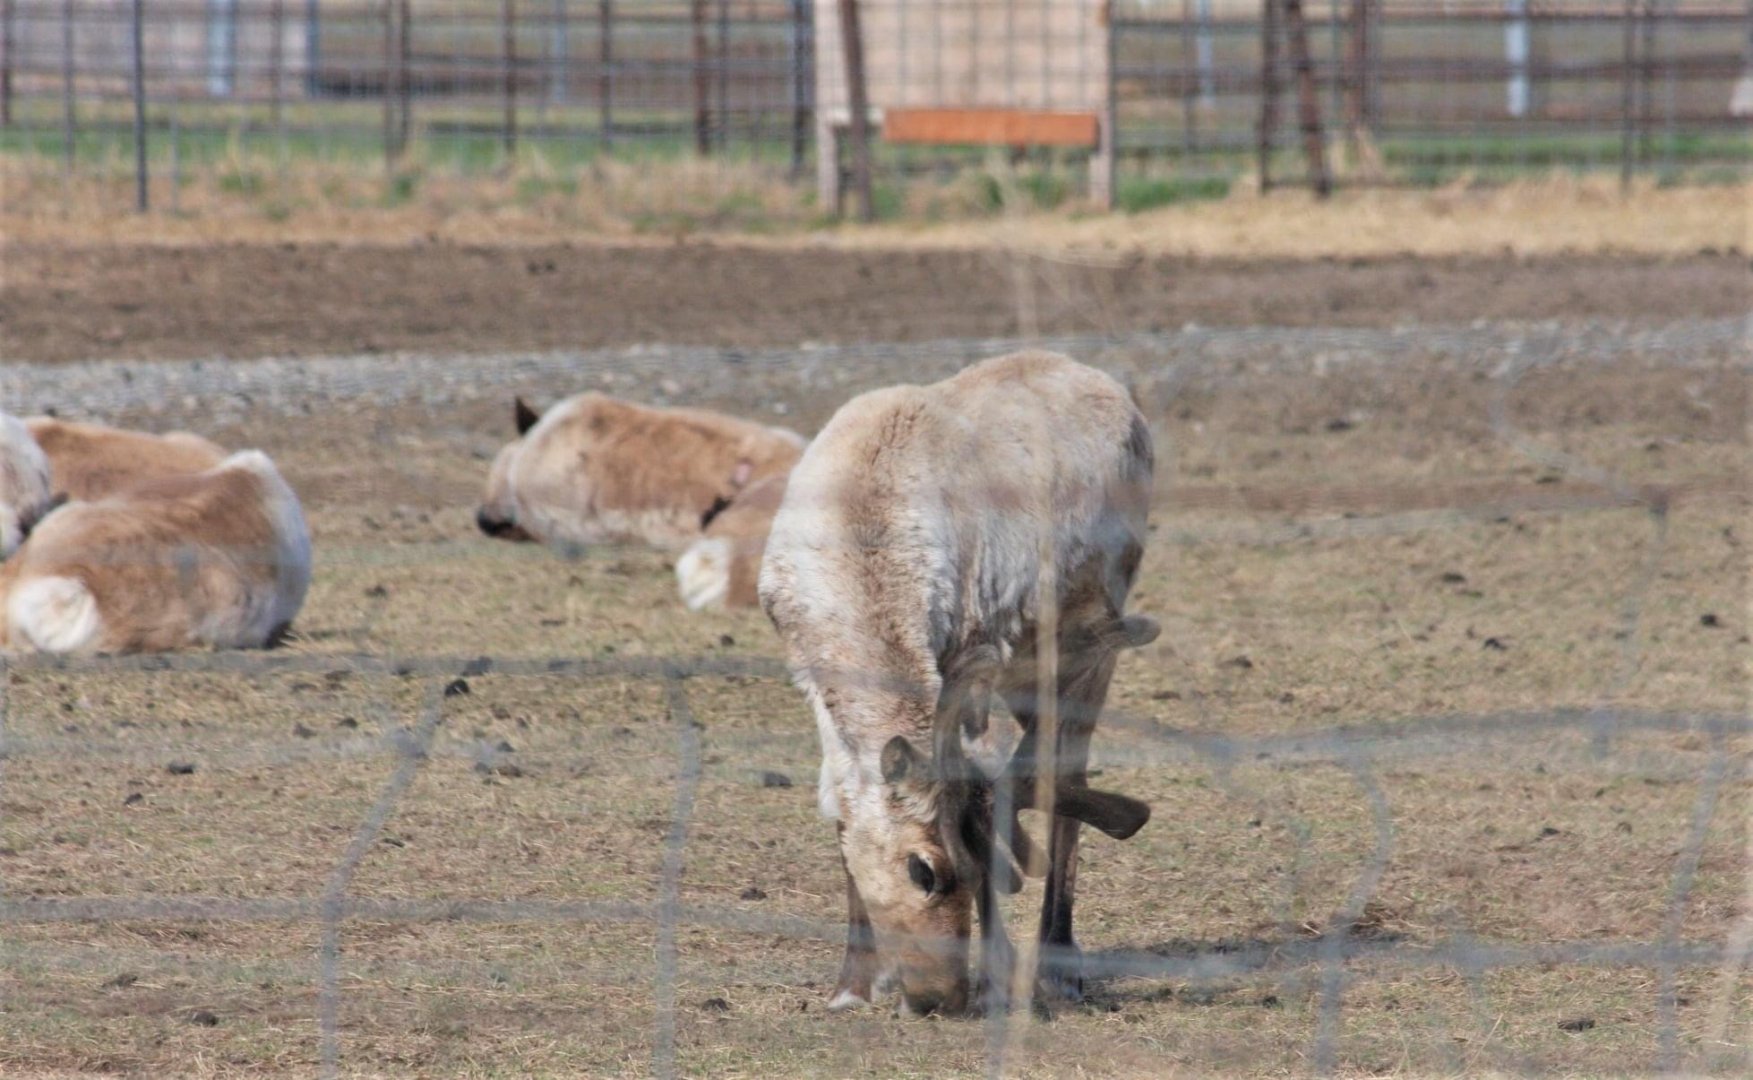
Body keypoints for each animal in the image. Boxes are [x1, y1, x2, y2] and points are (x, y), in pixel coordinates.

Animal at [758, 350, 1159, 1017]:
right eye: (924, 871)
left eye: (977, 878)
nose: (939, 998)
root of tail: (1118, 393)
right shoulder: (811, 678)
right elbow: (842, 806)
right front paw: (852, 986)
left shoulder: (964, 655)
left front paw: (997, 983)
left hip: (1092, 636)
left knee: (1068, 773)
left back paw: (1058, 966)